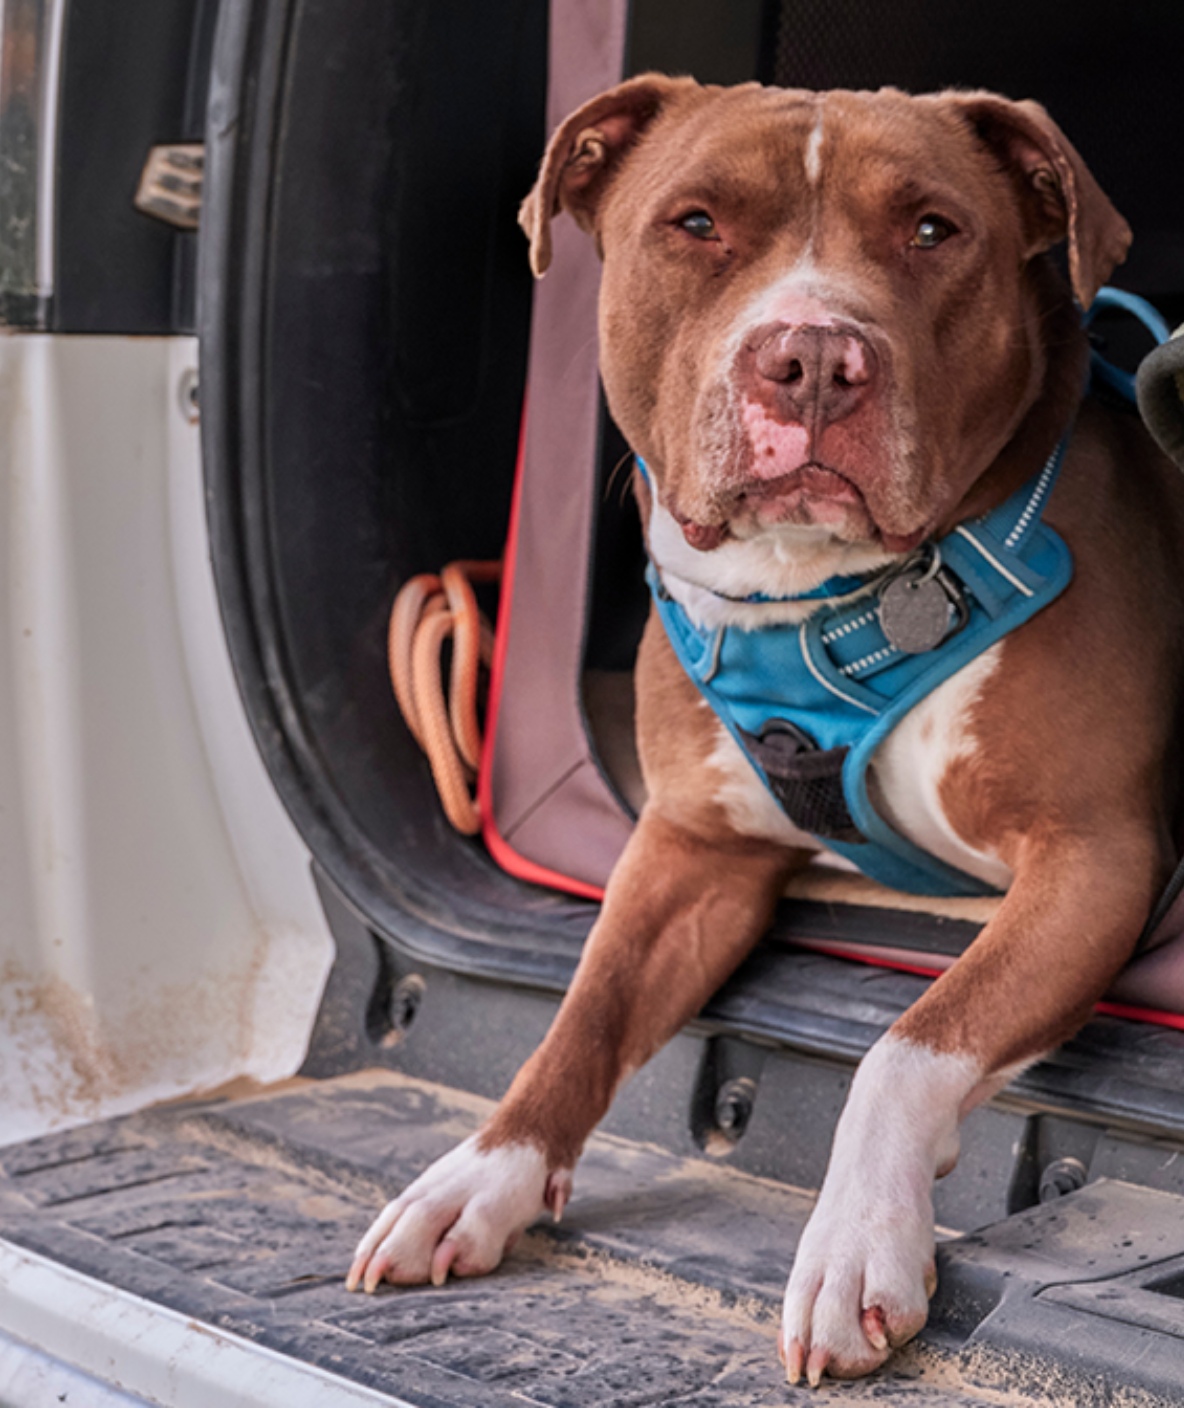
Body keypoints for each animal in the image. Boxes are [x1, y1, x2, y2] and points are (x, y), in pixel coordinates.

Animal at [346, 79, 1182, 1385]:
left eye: (933, 230)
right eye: (693, 223)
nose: (814, 360)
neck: (819, 588)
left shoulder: (1091, 854)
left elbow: (908, 1039)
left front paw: (851, 1246)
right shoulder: (690, 852)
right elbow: (580, 1015)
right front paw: (473, 1177)